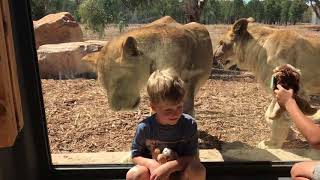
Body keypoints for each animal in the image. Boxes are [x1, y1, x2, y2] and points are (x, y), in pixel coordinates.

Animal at [214, 17, 320, 148]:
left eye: (221, 43)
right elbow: (268, 115)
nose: (214, 57)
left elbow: (276, 118)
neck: (259, 50)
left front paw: (272, 143)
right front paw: (290, 134)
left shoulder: (290, 88)